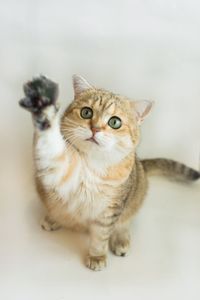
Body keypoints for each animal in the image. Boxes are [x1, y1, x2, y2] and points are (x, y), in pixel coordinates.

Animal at [19, 75, 200, 272]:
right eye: (86, 112)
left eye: (115, 122)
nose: (95, 129)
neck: (92, 164)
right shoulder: (57, 170)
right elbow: (51, 147)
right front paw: (44, 109)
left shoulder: (110, 209)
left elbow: (101, 236)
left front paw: (97, 256)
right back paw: (53, 219)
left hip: (135, 199)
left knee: (124, 223)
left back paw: (121, 240)